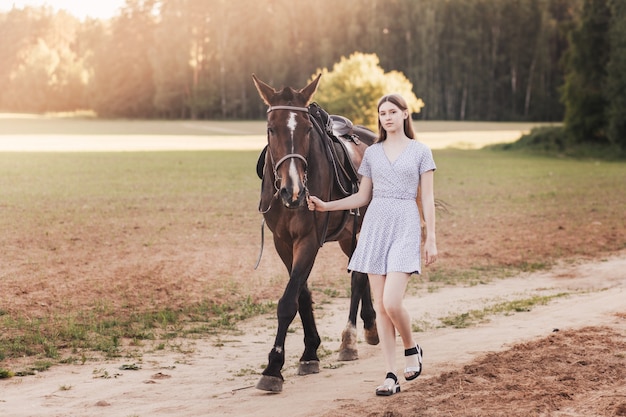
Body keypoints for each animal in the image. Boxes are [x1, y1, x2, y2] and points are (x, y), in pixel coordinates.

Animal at [251, 74, 378, 390]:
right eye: (271, 129)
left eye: (307, 129)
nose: (293, 191)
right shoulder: (283, 243)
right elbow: (301, 295)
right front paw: (310, 351)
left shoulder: (309, 240)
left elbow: (288, 301)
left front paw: (273, 366)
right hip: (347, 235)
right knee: (361, 270)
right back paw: (370, 324)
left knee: (358, 276)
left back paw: (350, 339)